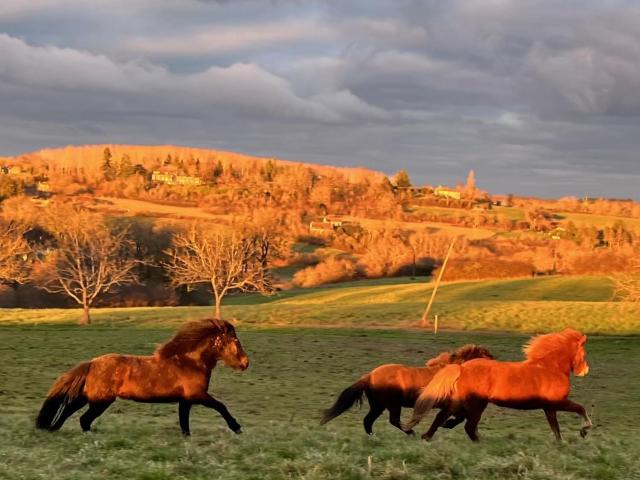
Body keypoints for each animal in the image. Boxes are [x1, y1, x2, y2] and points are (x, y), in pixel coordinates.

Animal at [34, 318, 250, 436]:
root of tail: (92, 363)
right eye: (235, 341)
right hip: (100, 401)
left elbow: (184, 422)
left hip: (88, 398)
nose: (245, 363)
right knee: (83, 419)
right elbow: (221, 406)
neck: (191, 362)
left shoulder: (186, 400)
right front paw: (237, 428)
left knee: (69, 410)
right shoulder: (197, 396)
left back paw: (52, 428)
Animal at [320, 344, 496, 436]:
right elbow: (461, 417)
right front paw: (447, 424)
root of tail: (369, 376)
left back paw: (372, 436)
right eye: (488, 358)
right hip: (392, 404)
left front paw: (448, 425)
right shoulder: (452, 404)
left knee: (368, 420)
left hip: (378, 405)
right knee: (393, 420)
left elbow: (462, 417)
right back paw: (410, 432)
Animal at [402, 326, 592, 442]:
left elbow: (556, 428)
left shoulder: (549, 408)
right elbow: (580, 408)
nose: (585, 371)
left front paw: (561, 443)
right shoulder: (557, 402)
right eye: (583, 352)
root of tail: (462, 367)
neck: (550, 369)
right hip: (477, 404)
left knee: (443, 416)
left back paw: (427, 436)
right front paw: (584, 431)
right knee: (468, 426)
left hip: (462, 401)